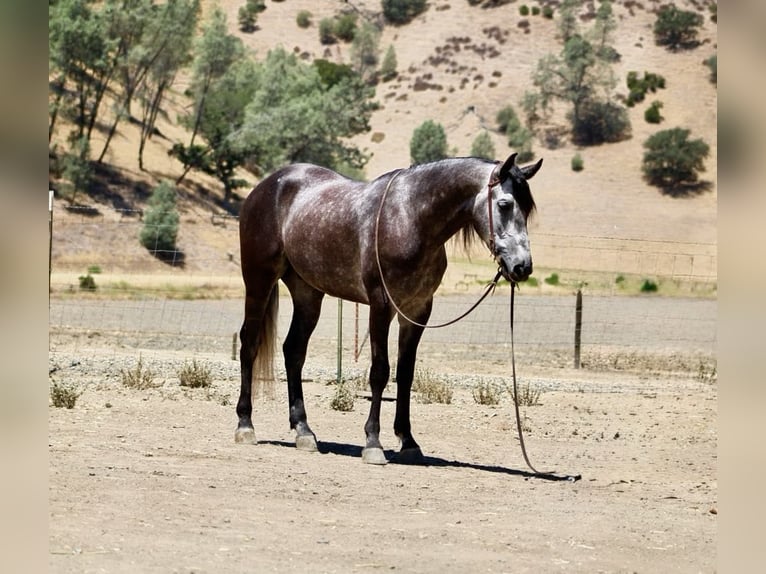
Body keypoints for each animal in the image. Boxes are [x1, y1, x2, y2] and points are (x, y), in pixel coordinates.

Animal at [235, 152, 543, 464]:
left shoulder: (418, 310)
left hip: (307, 293)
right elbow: (380, 371)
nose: (522, 267)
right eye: (504, 204)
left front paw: (408, 442)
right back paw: (246, 425)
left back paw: (304, 431)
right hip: (259, 280)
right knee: (249, 344)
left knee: (294, 351)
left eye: (528, 209)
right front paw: (373, 443)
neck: (409, 217)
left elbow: (405, 374)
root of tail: (266, 186)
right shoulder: (380, 306)